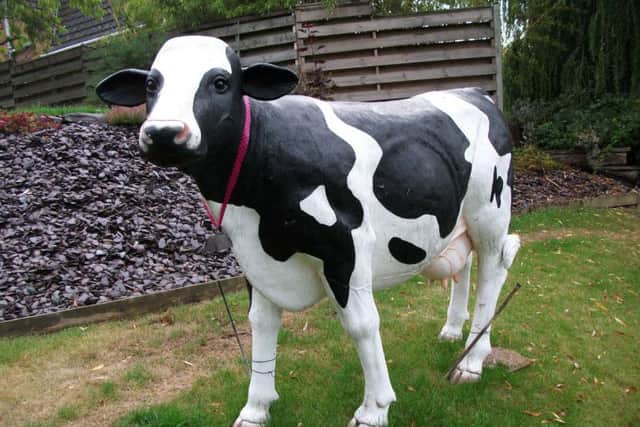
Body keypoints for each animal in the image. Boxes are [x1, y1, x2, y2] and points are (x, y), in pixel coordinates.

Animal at [96, 35, 520, 427]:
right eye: (152, 84)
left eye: (220, 82)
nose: (164, 133)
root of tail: (471, 91)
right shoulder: (254, 254)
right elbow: (260, 323)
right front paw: (256, 408)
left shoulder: (346, 244)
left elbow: (362, 325)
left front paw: (374, 409)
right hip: (456, 219)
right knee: (463, 264)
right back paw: (452, 331)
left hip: (490, 213)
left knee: (494, 268)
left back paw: (472, 361)